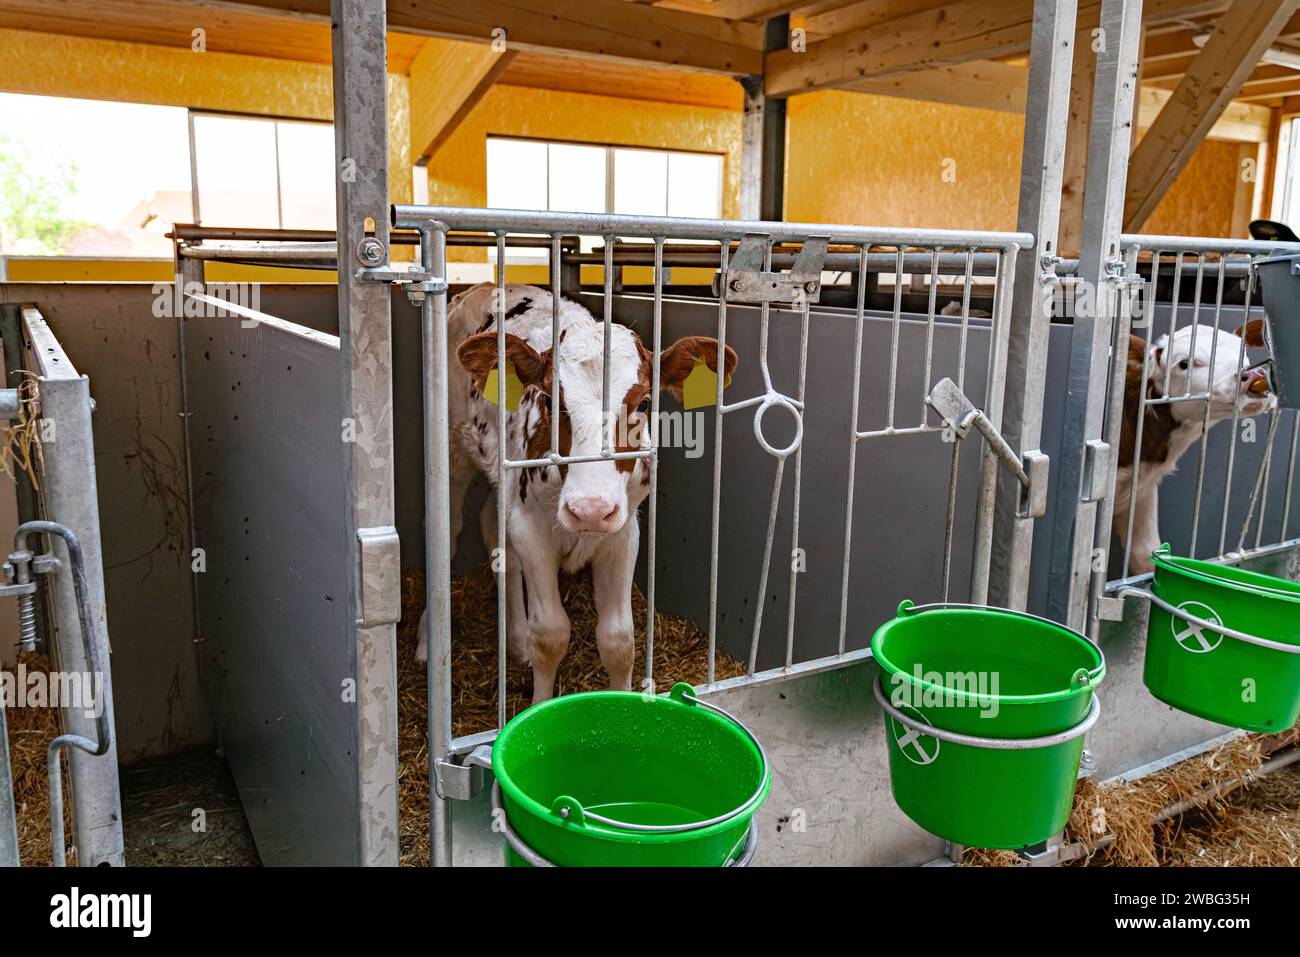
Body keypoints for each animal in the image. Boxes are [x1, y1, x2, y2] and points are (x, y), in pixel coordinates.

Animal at [418, 283, 738, 702]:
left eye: (644, 403)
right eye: (551, 401)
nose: (590, 510)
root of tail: (481, 287)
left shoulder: (622, 532)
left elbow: (619, 640)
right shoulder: (532, 528)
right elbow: (550, 634)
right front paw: (537, 703)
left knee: (493, 526)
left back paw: (515, 640)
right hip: (454, 451)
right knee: (449, 532)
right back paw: (428, 643)